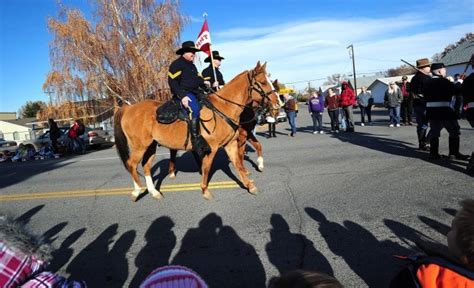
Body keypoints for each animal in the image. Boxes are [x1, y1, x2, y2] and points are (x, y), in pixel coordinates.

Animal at [114, 61, 278, 200]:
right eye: (263, 82)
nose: (277, 103)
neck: (224, 107)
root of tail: (128, 108)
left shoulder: (230, 144)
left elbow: (238, 164)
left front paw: (250, 185)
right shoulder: (212, 147)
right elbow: (207, 167)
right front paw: (205, 190)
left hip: (151, 145)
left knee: (146, 166)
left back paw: (154, 192)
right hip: (139, 146)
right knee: (131, 164)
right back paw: (137, 190)